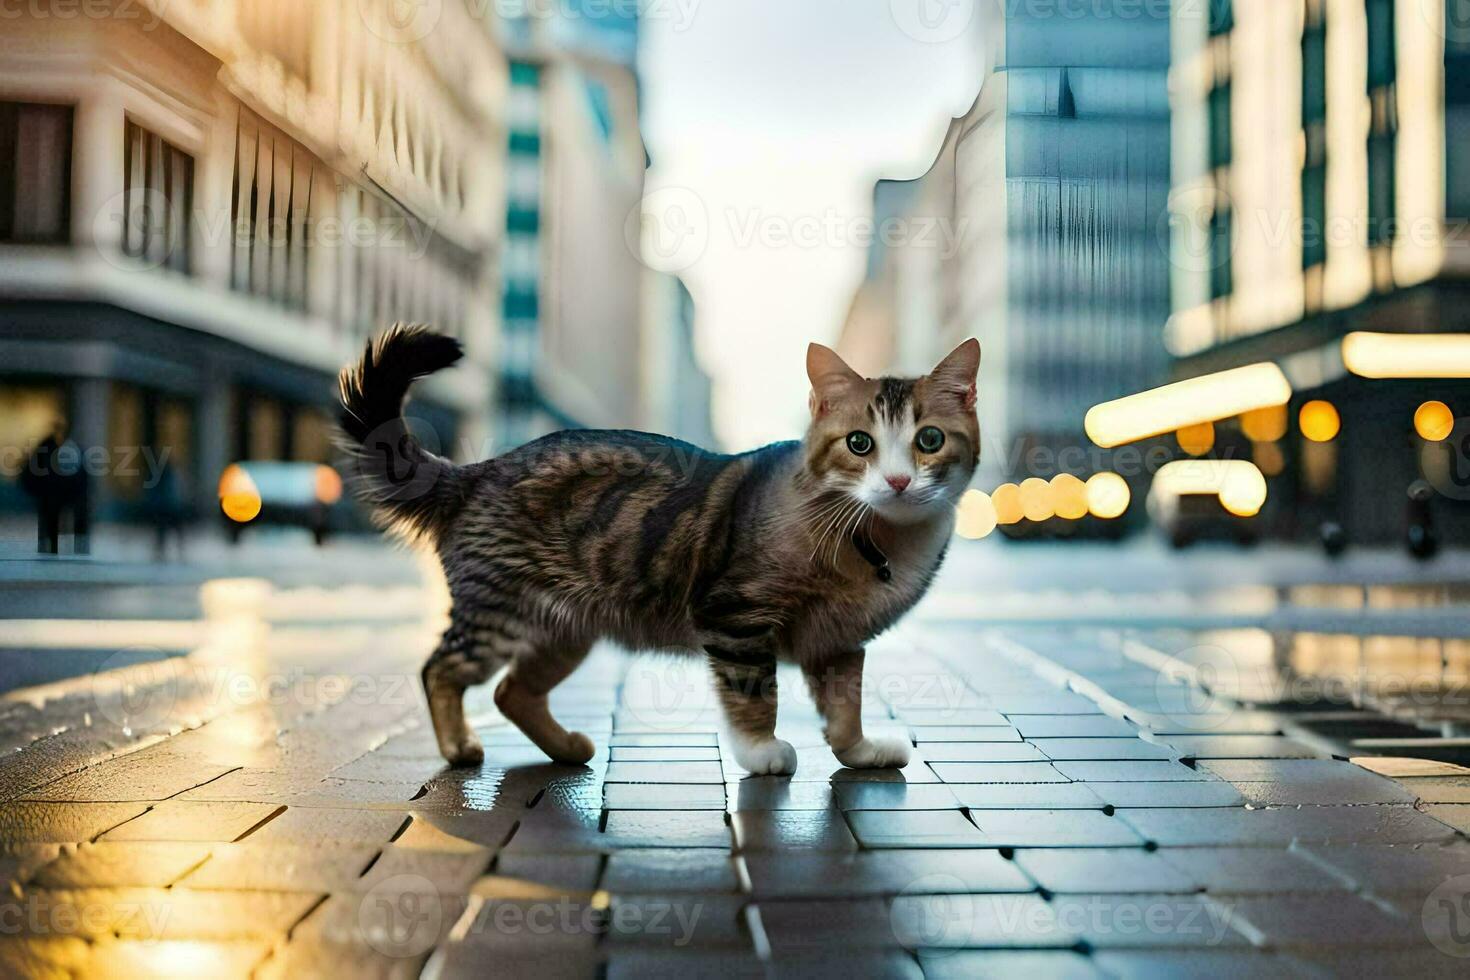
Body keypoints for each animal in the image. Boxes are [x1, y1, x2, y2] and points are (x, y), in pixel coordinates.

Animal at [333, 326, 976, 775]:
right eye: (860, 444)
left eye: (929, 440)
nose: (898, 481)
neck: (878, 542)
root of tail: (476, 470)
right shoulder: (736, 619)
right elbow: (754, 694)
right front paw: (760, 751)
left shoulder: (839, 642)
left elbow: (845, 709)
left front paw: (859, 751)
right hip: (498, 615)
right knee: (440, 669)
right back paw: (458, 746)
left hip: (563, 631)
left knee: (512, 692)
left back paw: (564, 746)